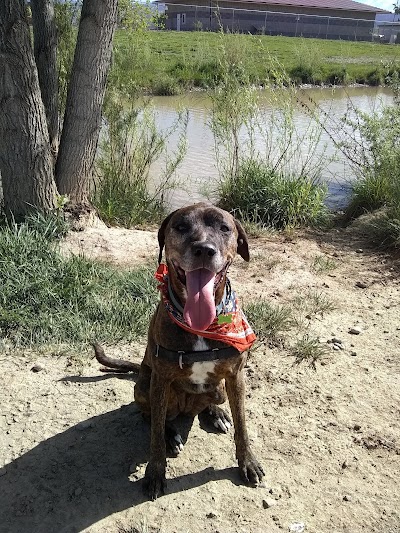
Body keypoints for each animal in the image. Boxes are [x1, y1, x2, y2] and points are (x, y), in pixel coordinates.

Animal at [92, 203, 264, 498]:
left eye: (224, 228)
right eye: (181, 226)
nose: (204, 249)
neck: (202, 325)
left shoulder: (235, 375)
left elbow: (242, 425)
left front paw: (248, 462)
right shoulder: (160, 380)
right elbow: (154, 439)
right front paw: (155, 472)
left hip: (218, 388)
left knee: (209, 401)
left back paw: (216, 413)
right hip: (146, 386)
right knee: (151, 417)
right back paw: (171, 433)